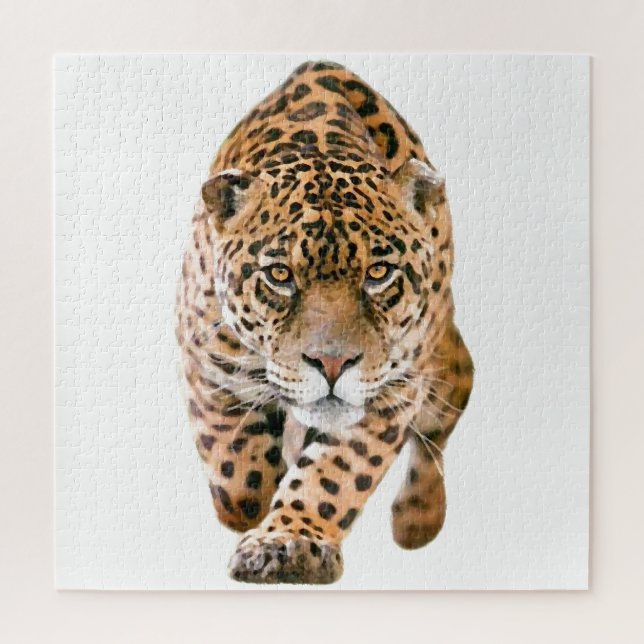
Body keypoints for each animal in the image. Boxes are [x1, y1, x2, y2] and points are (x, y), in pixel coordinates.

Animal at [176, 60, 473, 584]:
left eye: (379, 273)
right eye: (280, 275)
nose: (332, 364)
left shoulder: (391, 391)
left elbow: (334, 474)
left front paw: (290, 542)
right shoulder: (209, 367)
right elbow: (239, 483)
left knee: (450, 404)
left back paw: (417, 518)